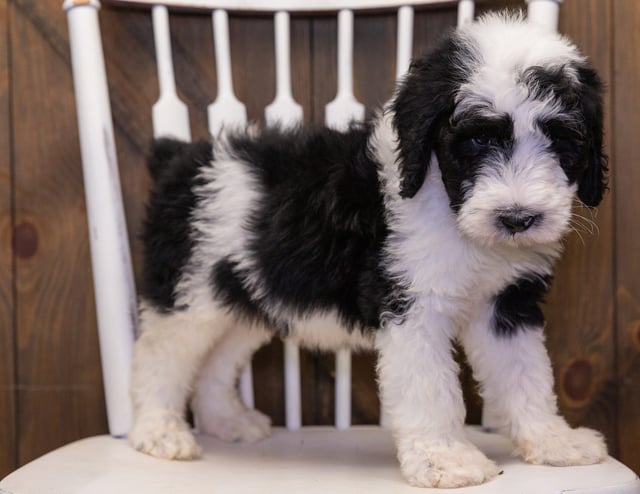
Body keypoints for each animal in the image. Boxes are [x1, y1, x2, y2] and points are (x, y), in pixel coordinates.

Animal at [127, 13, 608, 488]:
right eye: (478, 140)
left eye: (562, 140)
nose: (517, 218)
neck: (446, 204)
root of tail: (177, 158)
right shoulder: (412, 305)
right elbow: (430, 389)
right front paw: (446, 460)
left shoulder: (508, 303)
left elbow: (525, 374)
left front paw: (553, 443)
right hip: (188, 294)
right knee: (160, 358)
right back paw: (158, 432)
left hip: (244, 296)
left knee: (214, 362)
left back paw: (227, 421)